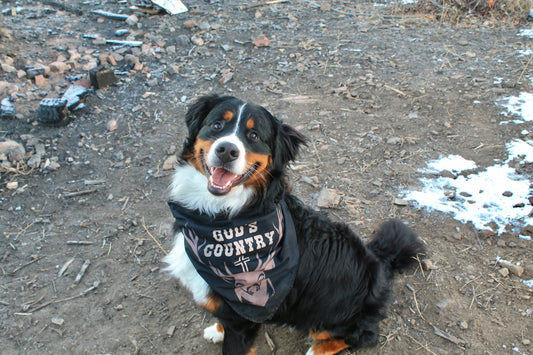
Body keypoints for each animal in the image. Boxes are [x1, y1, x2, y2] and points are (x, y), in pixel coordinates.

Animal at [164, 94, 426, 355]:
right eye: (217, 125)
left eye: (254, 136)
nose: (227, 150)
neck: (222, 216)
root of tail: (380, 263)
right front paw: (217, 330)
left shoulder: (243, 320)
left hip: (333, 316)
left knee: (362, 336)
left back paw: (317, 350)